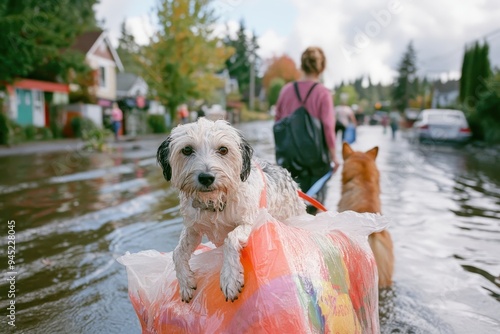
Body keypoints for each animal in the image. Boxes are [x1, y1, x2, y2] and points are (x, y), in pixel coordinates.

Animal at [156, 117, 306, 302]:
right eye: (187, 149)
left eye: (223, 149)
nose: (206, 178)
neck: (216, 202)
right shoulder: (193, 229)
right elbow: (177, 252)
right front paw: (185, 281)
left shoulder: (250, 222)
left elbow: (230, 238)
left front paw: (230, 278)